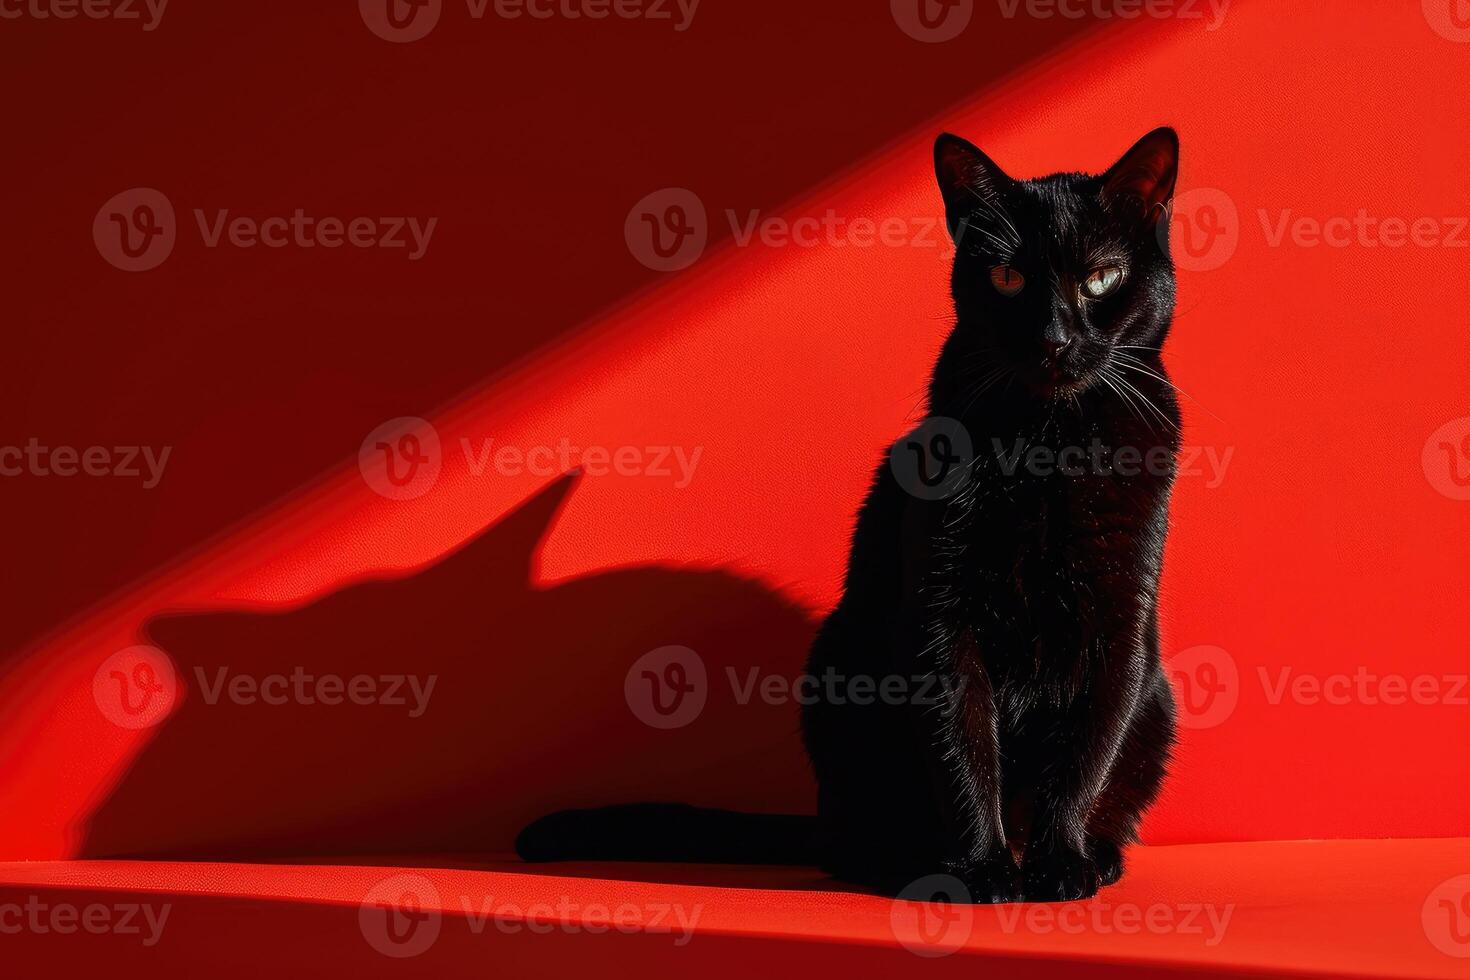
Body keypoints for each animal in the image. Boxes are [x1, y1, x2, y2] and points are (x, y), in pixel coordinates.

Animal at [517, 130, 1181, 905]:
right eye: (1009, 279)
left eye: (1101, 279)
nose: (1054, 340)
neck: (1048, 445)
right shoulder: (939, 616)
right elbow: (964, 746)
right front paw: (982, 870)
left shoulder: (1121, 619)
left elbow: (1085, 752)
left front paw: (1061, 865)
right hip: (838, 666)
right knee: (849, 837)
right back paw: (904, 863)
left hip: (1158, 699)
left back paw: (1096, 856)